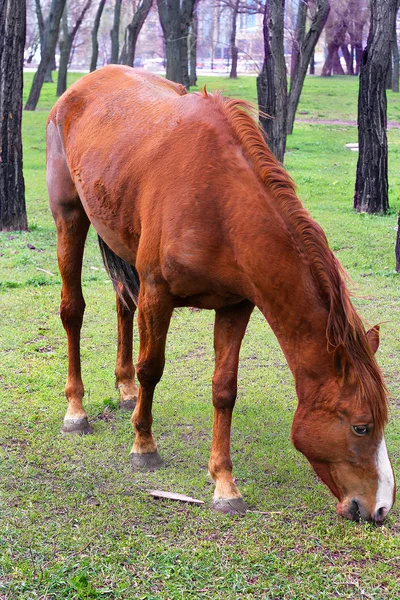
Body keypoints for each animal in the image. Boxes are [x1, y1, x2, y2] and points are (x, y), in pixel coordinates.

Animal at [46, 65, 394, 524]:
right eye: (360, 426)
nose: (381, 508)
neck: (219, 202)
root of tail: (84, 84)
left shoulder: (236, 305)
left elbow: (224, 390)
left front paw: (224, 485)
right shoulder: (157, 293)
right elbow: (152, 368)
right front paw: (144, 447)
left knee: (122, 303)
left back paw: (124, 391)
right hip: (70, 216)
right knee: (74, 311)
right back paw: (76, 411)